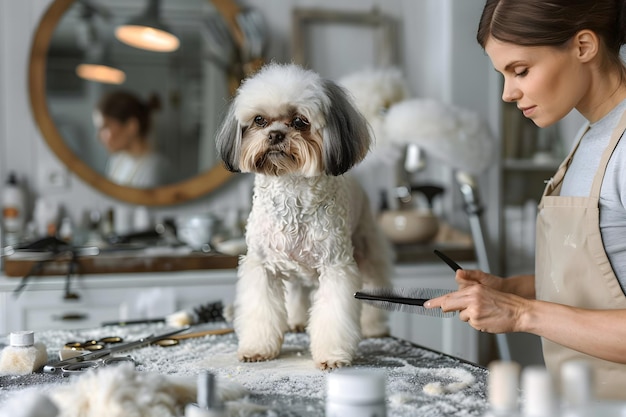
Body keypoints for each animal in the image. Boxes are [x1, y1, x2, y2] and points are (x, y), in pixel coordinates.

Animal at [214, 61, 390, 368]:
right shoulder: (262, 267)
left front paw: (332, 355)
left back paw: (374, 326)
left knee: (374, 290)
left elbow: (334, 315)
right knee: (296, 290)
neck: (291, 192)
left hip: (367, 249)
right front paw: (258, 348)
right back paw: (295, 320)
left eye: (299, 121)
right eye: (259, 120)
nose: (275, 134)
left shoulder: (336, 268)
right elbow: (261, 311)